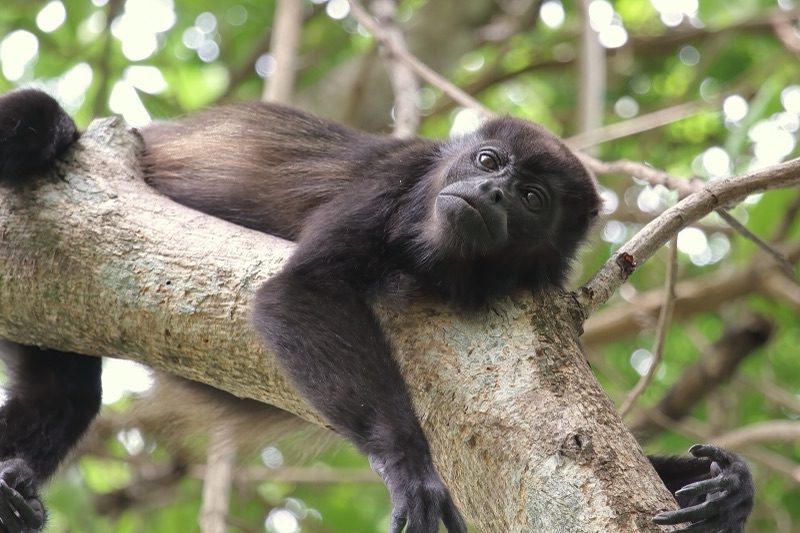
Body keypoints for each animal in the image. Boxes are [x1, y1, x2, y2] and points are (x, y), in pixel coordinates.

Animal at [0, 88, 753, 533]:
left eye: (534, 197)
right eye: (488, 161)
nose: (492, 192)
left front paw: (724, 489)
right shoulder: (397, 179)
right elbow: (299, 290)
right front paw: (409, 466)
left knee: (62, 395)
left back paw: (14, 493)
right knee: (40, 117)